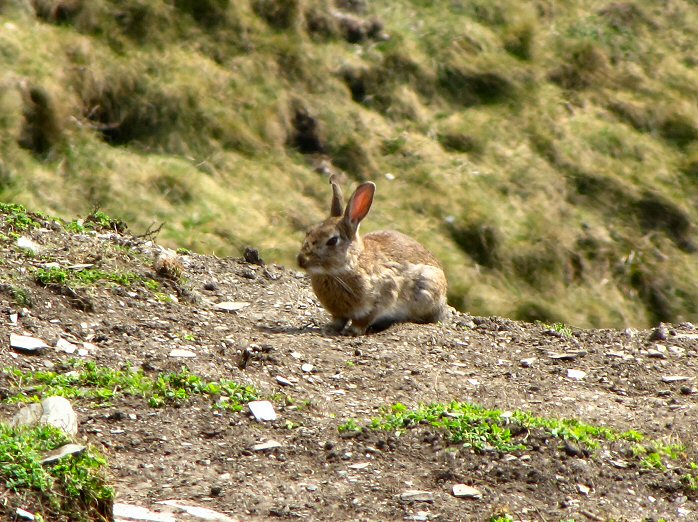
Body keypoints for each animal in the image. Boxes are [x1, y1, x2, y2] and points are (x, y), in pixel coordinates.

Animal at [294, 173, 446, 336]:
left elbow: (364, 319)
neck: (350, 265)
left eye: (333, 240)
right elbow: (339, 320)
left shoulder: (384, 295)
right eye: (309, 232)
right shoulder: (339, 312)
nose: (301, 260)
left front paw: (352, 331)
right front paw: (329, 328)